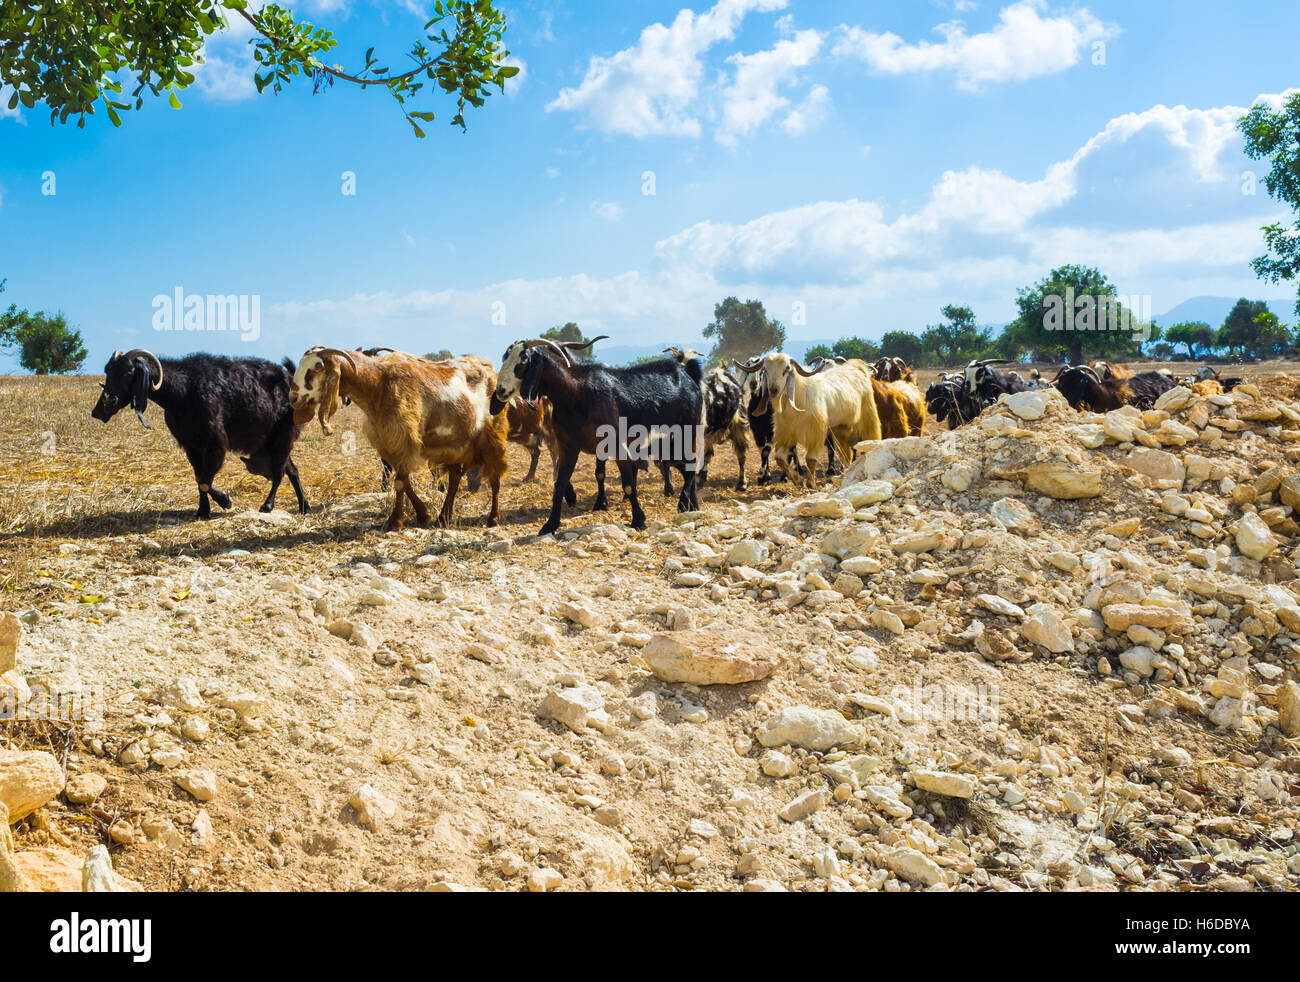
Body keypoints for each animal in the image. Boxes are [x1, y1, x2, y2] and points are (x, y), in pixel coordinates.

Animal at [91, 350, 309, 519]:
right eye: (107, 370)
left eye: (129, 371)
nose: (105, 404)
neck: (183, 391)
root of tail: (290, 378)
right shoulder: (191, 445)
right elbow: (199, 478)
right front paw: (203, 511)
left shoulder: (215, 442)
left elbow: (205, 479)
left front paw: (225, 501)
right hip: (272, 441)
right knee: (292, 470)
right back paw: (304, 506)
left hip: (283, 436)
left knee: (280, 472)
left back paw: (268, 505)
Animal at [290, 349, 507, 531]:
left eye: (315, 369)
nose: (292, 398)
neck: (377, 385)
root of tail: (486, 366)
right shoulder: (389, 444)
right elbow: (404, 481)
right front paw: (423, 515)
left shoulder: (405, 439)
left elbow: (400, 483)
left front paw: (394, 522)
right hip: (453, 444)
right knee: (454, 478)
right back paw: (444, 517)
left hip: (492, 436)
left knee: (495, 478)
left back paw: (493, 518)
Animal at [491, 339, 704, 535]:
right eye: (505, 357)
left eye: (523, 360)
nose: (500, 390)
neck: (576, 393)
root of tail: (686, 372)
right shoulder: (568, 446)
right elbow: (560, 484)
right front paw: (550, 524)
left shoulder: (616, 445)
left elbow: (628, 485)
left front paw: (638, 520)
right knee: (686, 467)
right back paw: (693, 505)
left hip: (687, 432)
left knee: (691, 465)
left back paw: (683, 504)